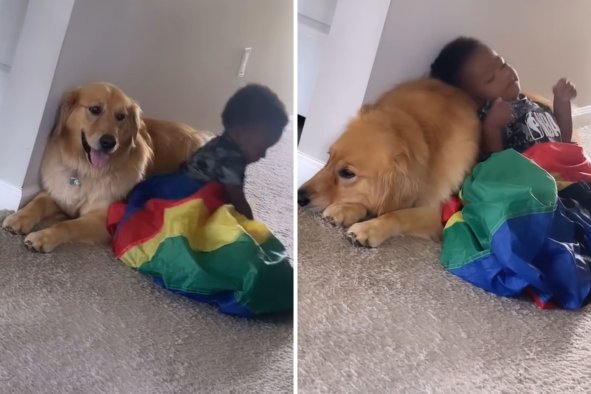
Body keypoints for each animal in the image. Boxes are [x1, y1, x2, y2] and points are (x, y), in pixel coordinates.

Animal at [1, 83, 210, 252]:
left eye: (121, 117)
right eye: (95, 109)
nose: (109, 142)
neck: (86, 170)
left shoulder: (102, 219)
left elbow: (68, 225)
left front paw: (43, 236)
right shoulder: (58, 192)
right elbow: (36, 203)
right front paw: (18, 218)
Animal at [300, 77, 480, 246]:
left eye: (347, 173)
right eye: (329, 157)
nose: (299, 197)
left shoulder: (433, 212)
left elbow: (396, 215)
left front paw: (369, 228)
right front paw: (345, 209)